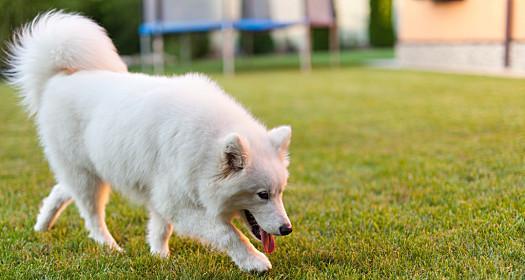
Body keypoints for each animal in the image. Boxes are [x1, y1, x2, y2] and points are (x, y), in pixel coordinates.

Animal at [6, 10, 292, 272]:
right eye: (262, 195)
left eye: (280, 192)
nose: (287, 229)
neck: (206, 147)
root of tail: (59, 77)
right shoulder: (177, 202)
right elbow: (228, 233)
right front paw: (254, 261)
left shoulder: (162, 195)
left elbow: (161, 227)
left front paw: (159, 255)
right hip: (87, 178)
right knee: (92, 216)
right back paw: (109, 247)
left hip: (89, 171)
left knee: (61, 190)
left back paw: (42, 225)